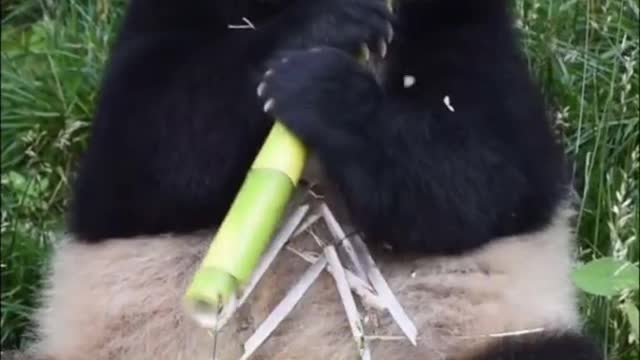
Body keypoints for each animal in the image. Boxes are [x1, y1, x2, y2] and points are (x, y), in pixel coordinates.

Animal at [23, 0, 604, 358]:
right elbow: (144, 154)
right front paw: (321, 25)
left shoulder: (468, 22)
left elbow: (481, 174)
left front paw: (323, 92)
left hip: (492, 335)